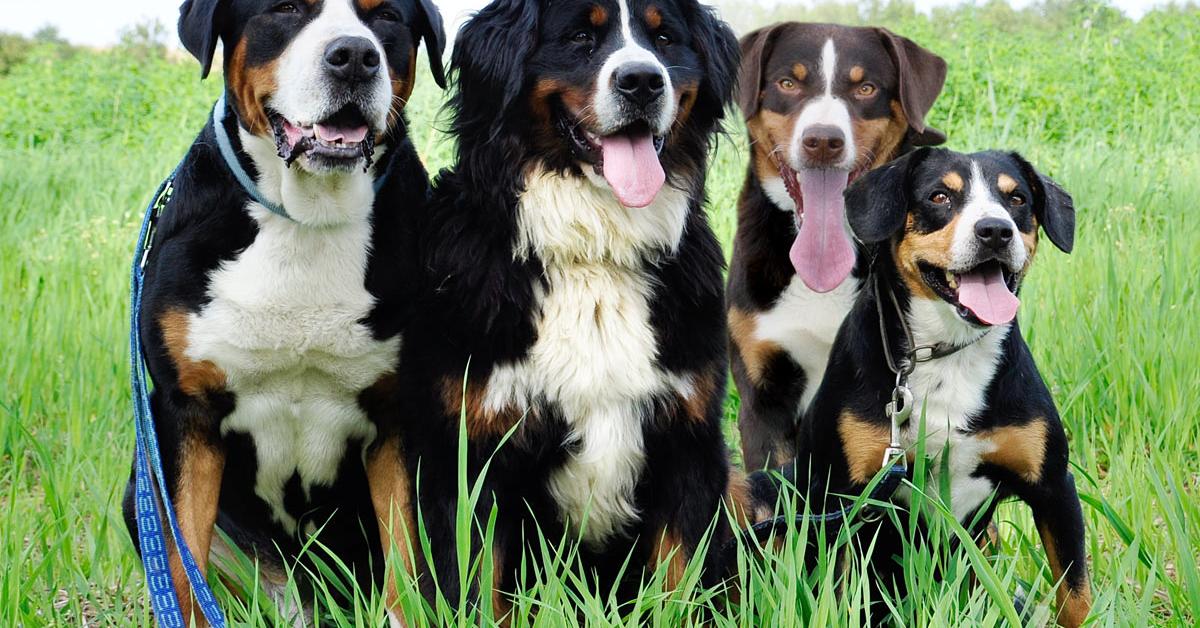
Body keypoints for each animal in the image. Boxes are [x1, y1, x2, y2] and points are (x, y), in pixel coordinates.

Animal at [119, 0, 446, 619]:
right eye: (286, 9)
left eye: (387, 17)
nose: (354, 56)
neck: (309, 220)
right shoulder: (186, 412)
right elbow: (181, 561)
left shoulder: (400, 417)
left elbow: (407, 565)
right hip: (142, 482)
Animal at [792, 148, 1094, 628]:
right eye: (939, 196)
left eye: (1017, 199)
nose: (995, 230)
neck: (945, 353)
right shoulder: (843, 498)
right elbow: (838, 600)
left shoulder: (1053, 486)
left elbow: (1076, 597)